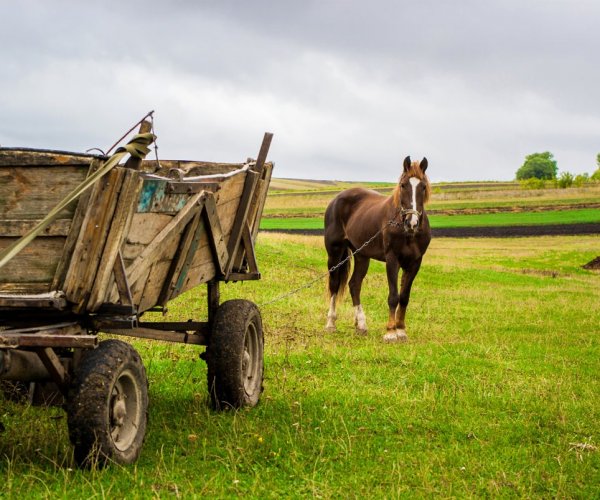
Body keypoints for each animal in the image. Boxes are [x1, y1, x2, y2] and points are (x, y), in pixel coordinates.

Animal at [324, 157, 432, 344]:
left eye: (423, 186)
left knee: (354, 285)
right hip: (335, 253)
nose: (412, 223)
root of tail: (336, 199)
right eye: (403, 185)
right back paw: (331, 323)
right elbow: (393, 296)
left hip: (362, 255)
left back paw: (361, 325)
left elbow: (404, 297)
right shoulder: (392, 260)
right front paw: (390, 332)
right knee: (335, 284)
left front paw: (401, 330)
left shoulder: (415, 262)